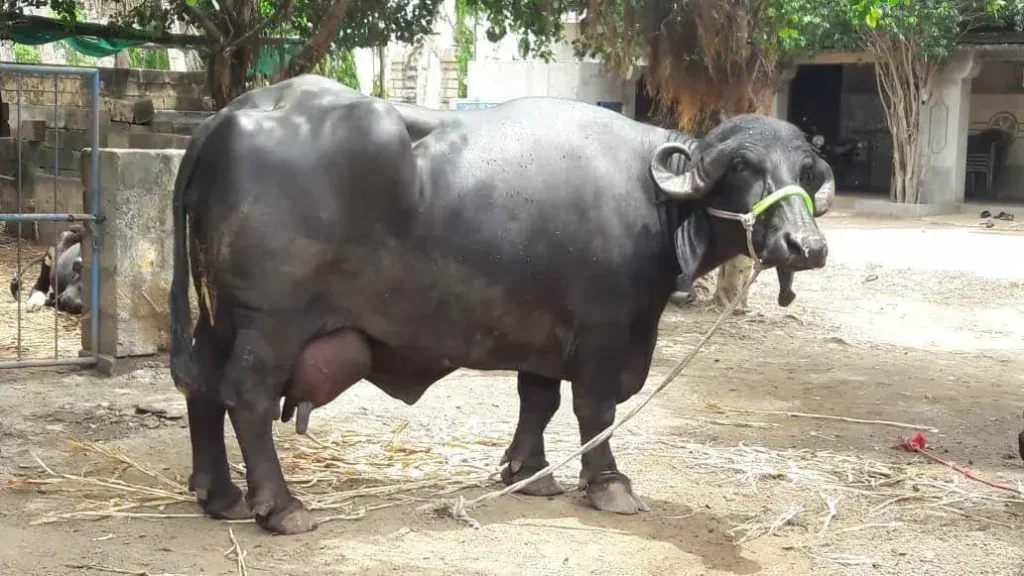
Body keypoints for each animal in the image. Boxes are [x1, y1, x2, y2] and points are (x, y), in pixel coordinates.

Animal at [169, 75, 834, 535]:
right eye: (743, 165)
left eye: (804, 169)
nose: (806, 246)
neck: (653, 199)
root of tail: (228, 117)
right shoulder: (605, 330)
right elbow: (595, 410)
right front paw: (609, 484)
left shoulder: (543, 333)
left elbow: (537, 400)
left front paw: (528, 473)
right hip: (270, 325)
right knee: (246, 396)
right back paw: (281, 507)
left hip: (217, 317)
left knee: (201, 386)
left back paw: (220, 495)